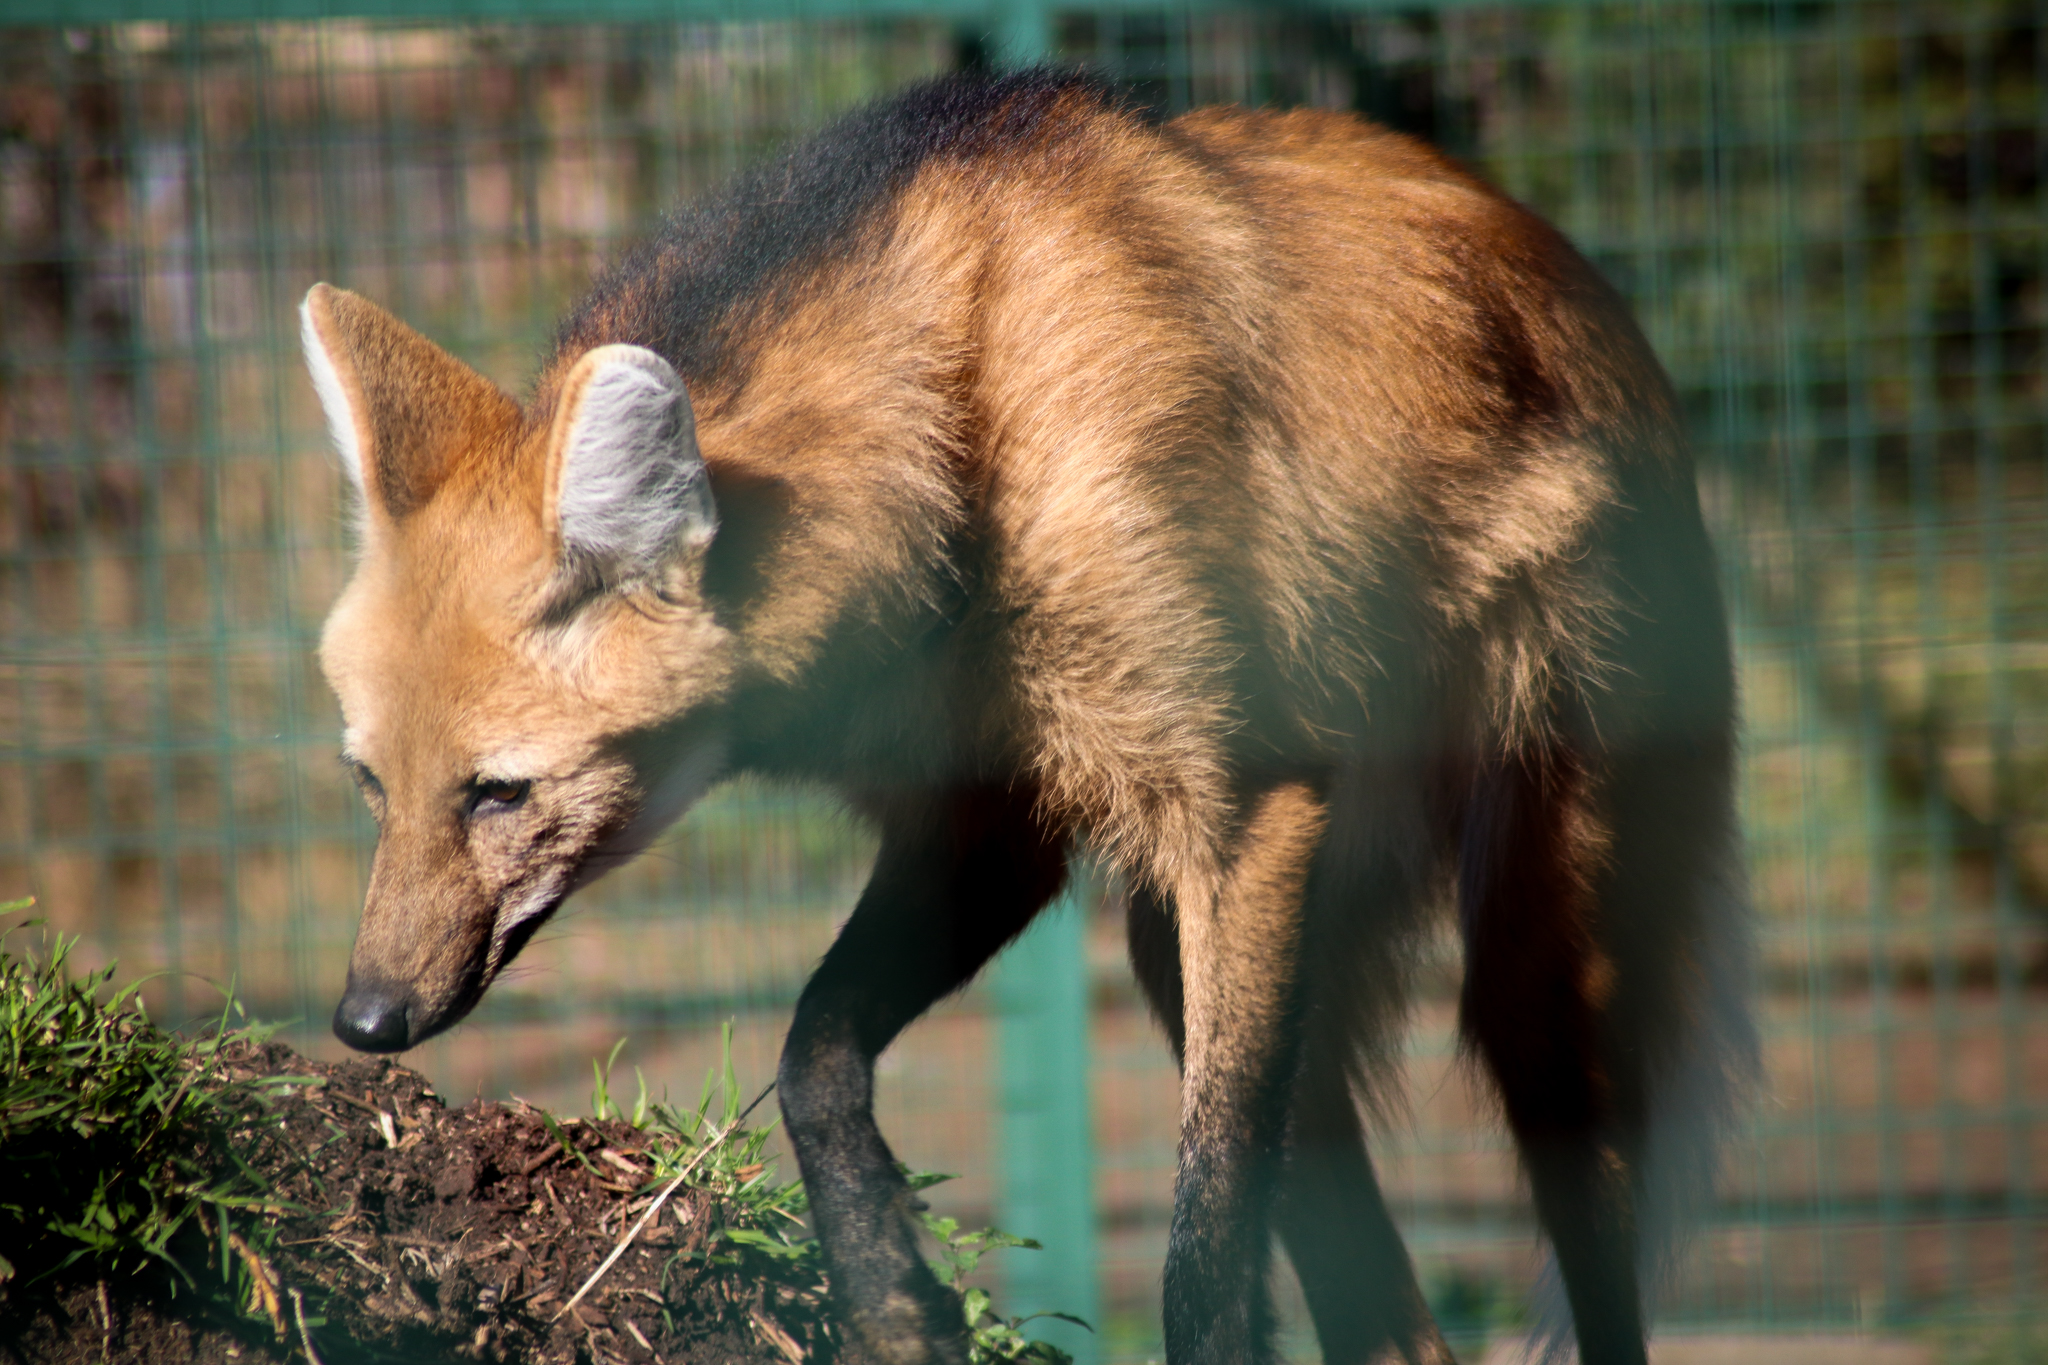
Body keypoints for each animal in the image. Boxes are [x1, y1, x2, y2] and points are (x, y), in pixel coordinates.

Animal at [303, 69, 1751, 1365]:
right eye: (370, 786)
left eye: (499, 793)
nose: (363, 1022)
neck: (965, 432)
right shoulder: (993, 821)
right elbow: (814, 1050)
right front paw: (894, 1300)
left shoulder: (1245, 813)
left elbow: (1200, 1256)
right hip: (1194, 949)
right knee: (1396, 1323)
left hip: (1526, 965)